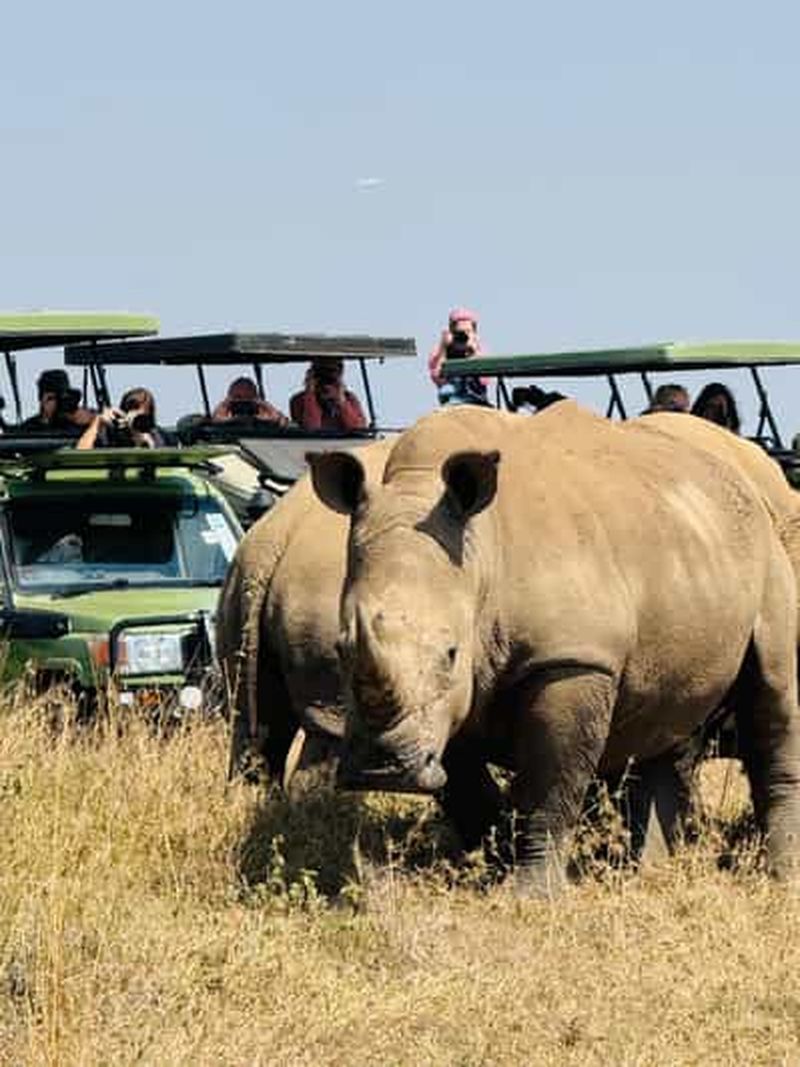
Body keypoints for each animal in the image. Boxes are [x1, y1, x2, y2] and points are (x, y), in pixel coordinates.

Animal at [308, 401, 800, 895]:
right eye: (341, 649)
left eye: (450, 653)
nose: (382, 768)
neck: (480, 551)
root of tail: (743, 471)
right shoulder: (455, 700)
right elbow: (465, 785)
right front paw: (493, 862)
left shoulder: (572, 659)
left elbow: (551, 782)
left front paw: (529, 893)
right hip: (686, 553)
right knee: (664, 717)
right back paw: (646, 874)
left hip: (769, 557)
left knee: (772, 693)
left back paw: (779, 876)